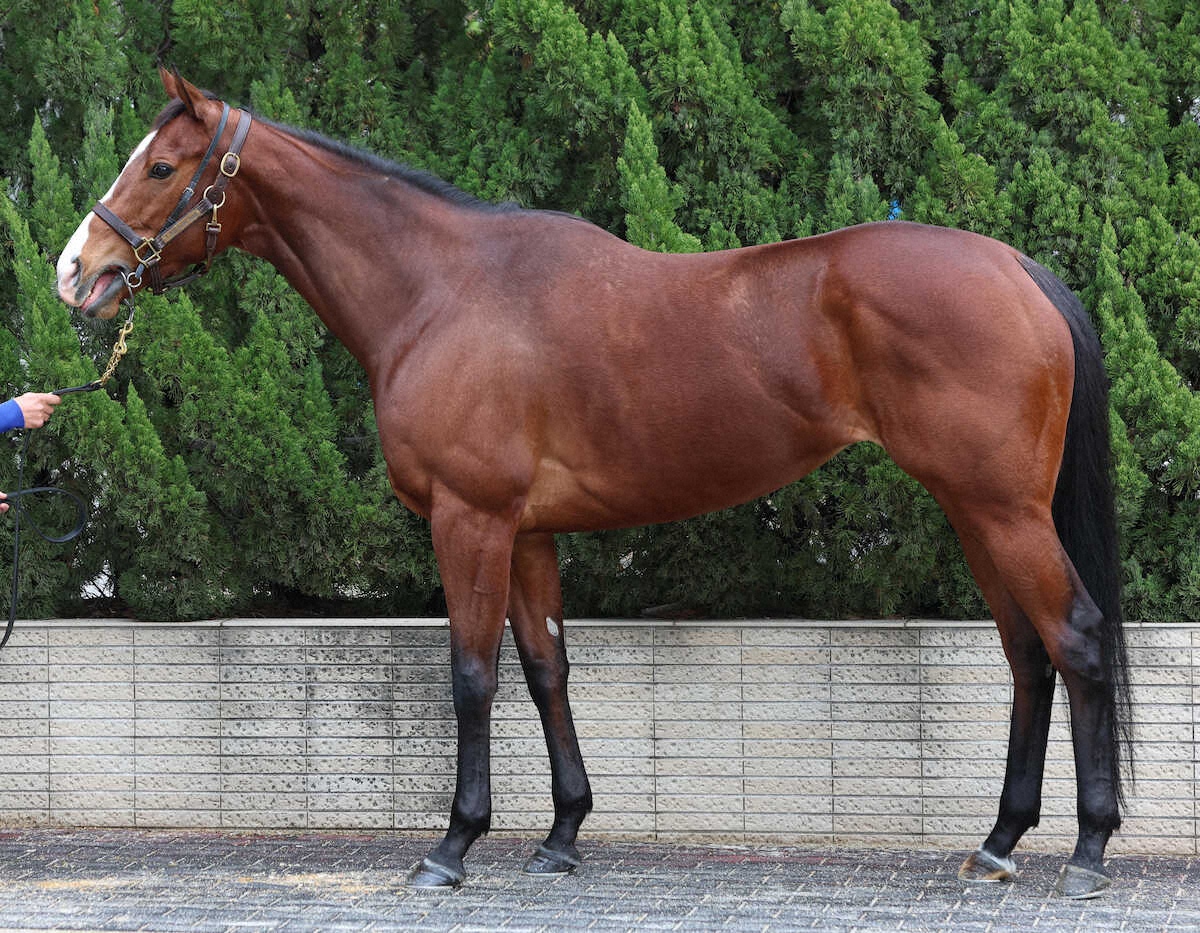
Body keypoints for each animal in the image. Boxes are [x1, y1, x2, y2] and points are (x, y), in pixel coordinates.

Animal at [56, 69, 1131, 899]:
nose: (75, 272)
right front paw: (562, 836)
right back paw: (998, 842)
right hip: (975, 510)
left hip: (1001, 509)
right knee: (1027, 655)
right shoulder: (528, 530)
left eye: (160, 166)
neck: (442, 292)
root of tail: (1017, 268)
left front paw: (452, 846)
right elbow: (546, 669)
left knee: (1074, 638)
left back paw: (1087, 850)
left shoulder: (471, 521)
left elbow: (473, 675)